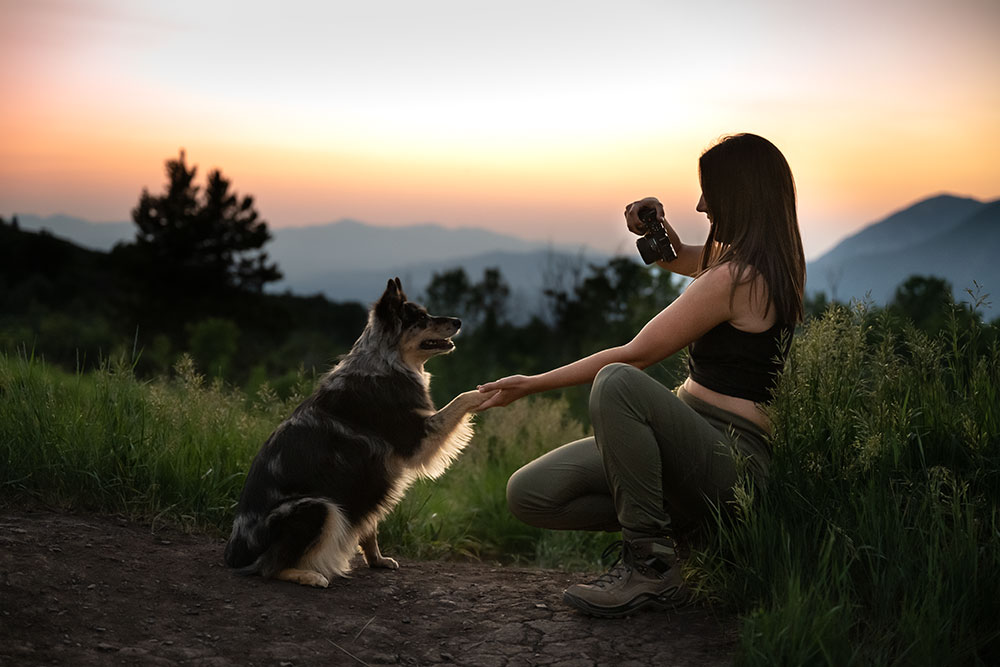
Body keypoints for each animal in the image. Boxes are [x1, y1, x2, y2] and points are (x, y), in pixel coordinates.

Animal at [225, 280, 494, 588]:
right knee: (269, 567)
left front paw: (377, 560)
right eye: (421, 318)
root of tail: (234, 555)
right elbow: (463, 398)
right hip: (317, 508)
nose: (458, 321)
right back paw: (309, 575)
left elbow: (369, 526)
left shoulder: (369, 481)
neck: (386, 362)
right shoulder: (418, 438)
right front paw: (491, 391)